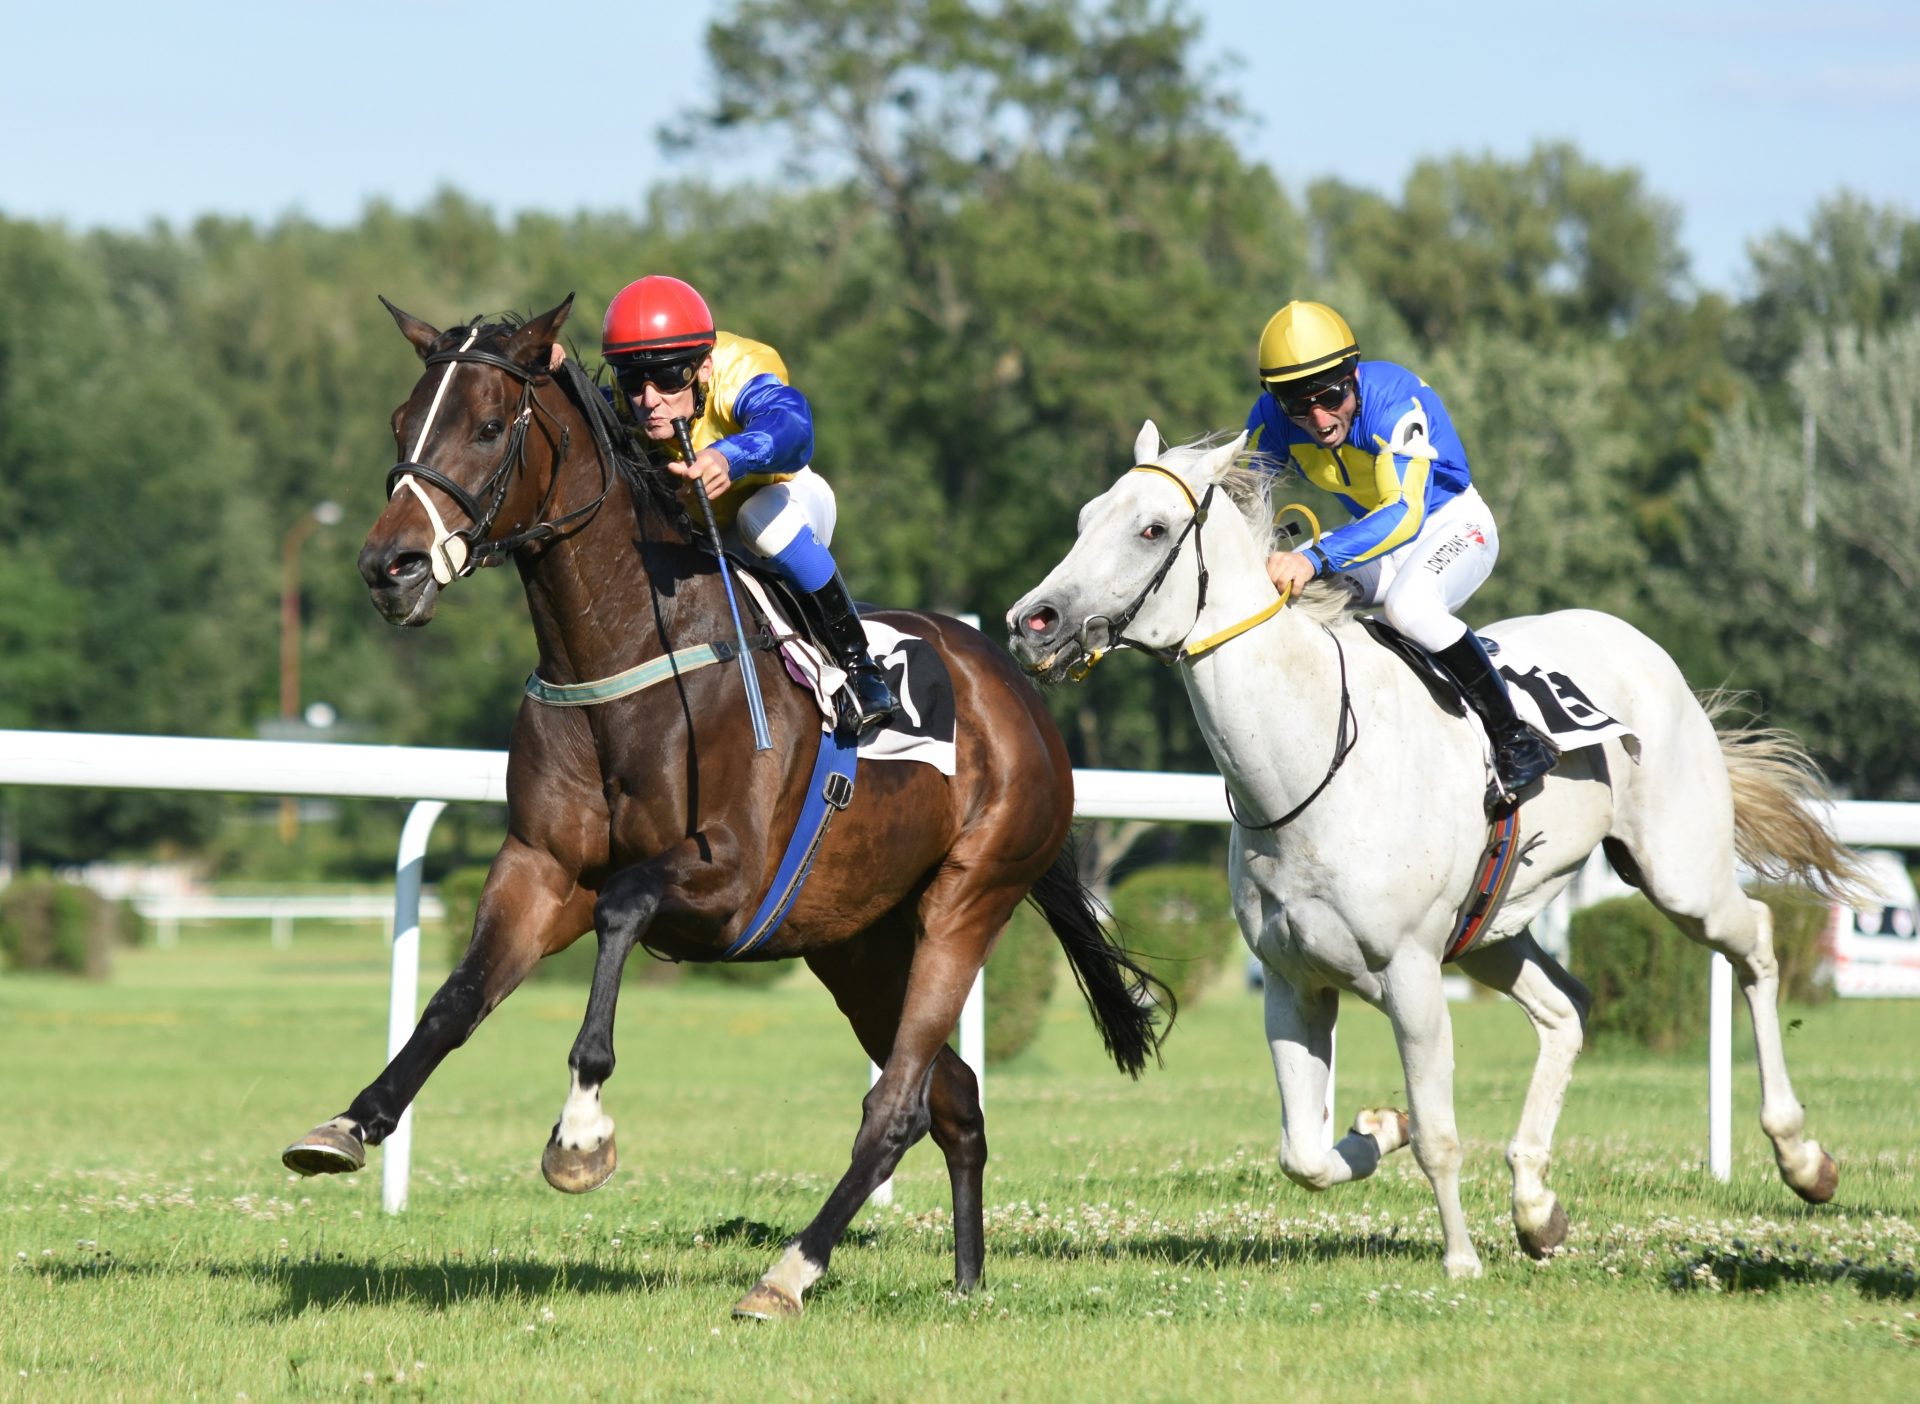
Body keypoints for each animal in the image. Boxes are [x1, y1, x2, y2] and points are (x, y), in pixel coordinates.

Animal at [278, 295, 1159, 1321]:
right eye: (400, 423)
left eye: (490, 426)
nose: (392, 567)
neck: (625, 655)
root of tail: (1019, 693)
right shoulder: (542, 867)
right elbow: (456, 999)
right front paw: (350, 1123)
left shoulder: (729, 877)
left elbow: (624, 908)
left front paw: (581, 1136)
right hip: (858, 944)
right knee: (955, 1097)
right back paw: (966, 1281)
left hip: (967, 899)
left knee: (897, 1105)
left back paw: (787, 1272)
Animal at [1006, 422, 1858, 1282]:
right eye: (1084, 518)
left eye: (1151, 529)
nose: (1030, 621)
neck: (1309, 758)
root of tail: (1643, 646)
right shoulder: (1291, 982)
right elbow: (1303, 1155)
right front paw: (1382, 1129)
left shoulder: (1412, 973)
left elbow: (1440, 1136)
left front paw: (1459, 1259)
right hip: (1493, 931)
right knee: (1568, 1010)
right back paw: (1536, 1205)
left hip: (1677, 874)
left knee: (1754, 941)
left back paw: (1802, 1156)